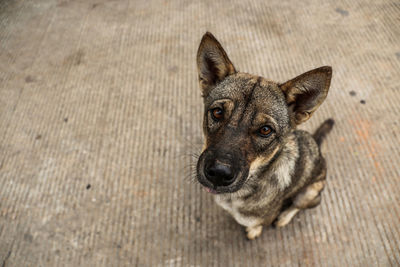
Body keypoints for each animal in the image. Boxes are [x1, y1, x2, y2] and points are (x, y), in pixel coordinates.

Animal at [195, 31, 334, 241]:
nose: (219, 174)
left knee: (297, 206)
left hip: (310, 192)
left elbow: (258, 224)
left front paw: (255, 230)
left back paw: (284, 217)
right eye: (217, 112)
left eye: (266, 130)